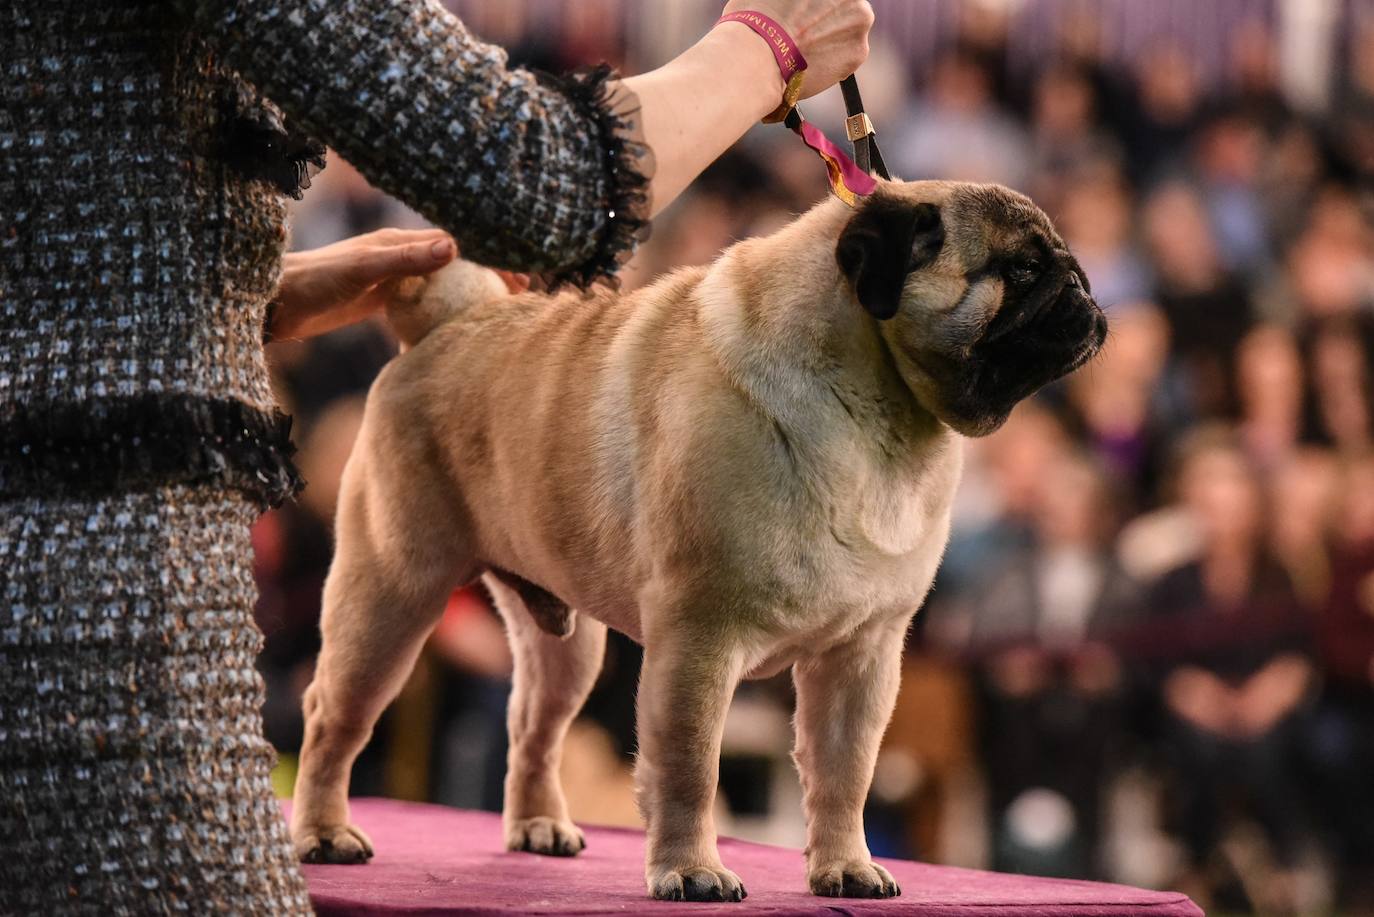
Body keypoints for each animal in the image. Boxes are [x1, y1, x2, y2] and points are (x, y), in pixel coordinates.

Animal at [289, 178, 1104, 901]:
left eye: (1058, 262)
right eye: (1022, 269)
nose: (1086, 289)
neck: (881, 416)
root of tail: (449, 324)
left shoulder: (862, 657)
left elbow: (845, 776)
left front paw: (845, 867)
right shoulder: (698, 643)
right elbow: (689, 768)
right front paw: (690, 871)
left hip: (568, 650)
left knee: (532, 727)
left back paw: (537, 826)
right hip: (391, 598)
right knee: (334, 718)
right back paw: (323, 832)